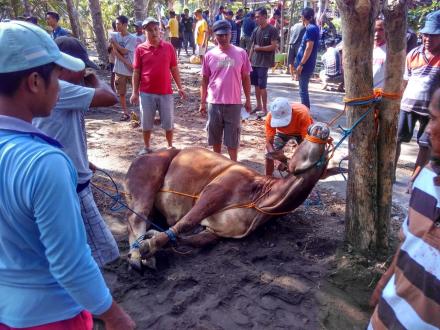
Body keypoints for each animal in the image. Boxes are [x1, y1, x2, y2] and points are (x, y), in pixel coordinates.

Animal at [124, 122, 334, 270]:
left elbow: (193, 239)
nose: (321, 127)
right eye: (303, 140)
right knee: (136, 217)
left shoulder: (218, 231)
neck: (261, 201)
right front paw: (148, 246)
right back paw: (135, 255)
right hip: (148, 179)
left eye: (326, 154)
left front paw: (152, 239)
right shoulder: (213, 193)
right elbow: (186, 222)